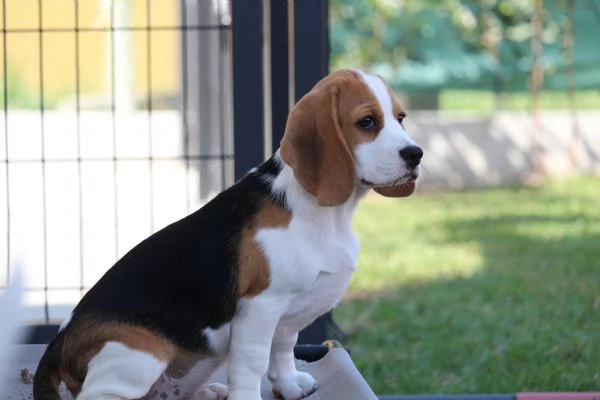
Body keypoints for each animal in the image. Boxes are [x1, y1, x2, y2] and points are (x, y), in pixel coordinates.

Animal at [31, 69, 422, 400]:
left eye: (401, 118)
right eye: (367, 122)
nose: (416, 154)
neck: (323, 212)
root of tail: (57, 345)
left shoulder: (288, 313)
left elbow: (283, 349)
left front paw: (288, 385)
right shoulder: (260, 307)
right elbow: (251, 364)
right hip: (137, 354)